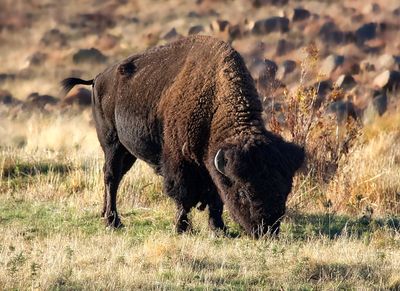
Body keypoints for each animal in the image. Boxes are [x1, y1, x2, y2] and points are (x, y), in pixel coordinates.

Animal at [62, 35, 304, 238]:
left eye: (285, 190)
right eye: (244, 192)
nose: (267, 230)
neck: (214, 99)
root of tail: (98, 78)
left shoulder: (210, 167)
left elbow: (215, 199)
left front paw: (219, 230)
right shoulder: (179, 163)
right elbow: (183, 196)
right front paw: (182, 228)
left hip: (127, 151)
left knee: (117, 176)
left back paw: (104, 214)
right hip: (111, 142)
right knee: (111, 177)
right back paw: (113, 222)